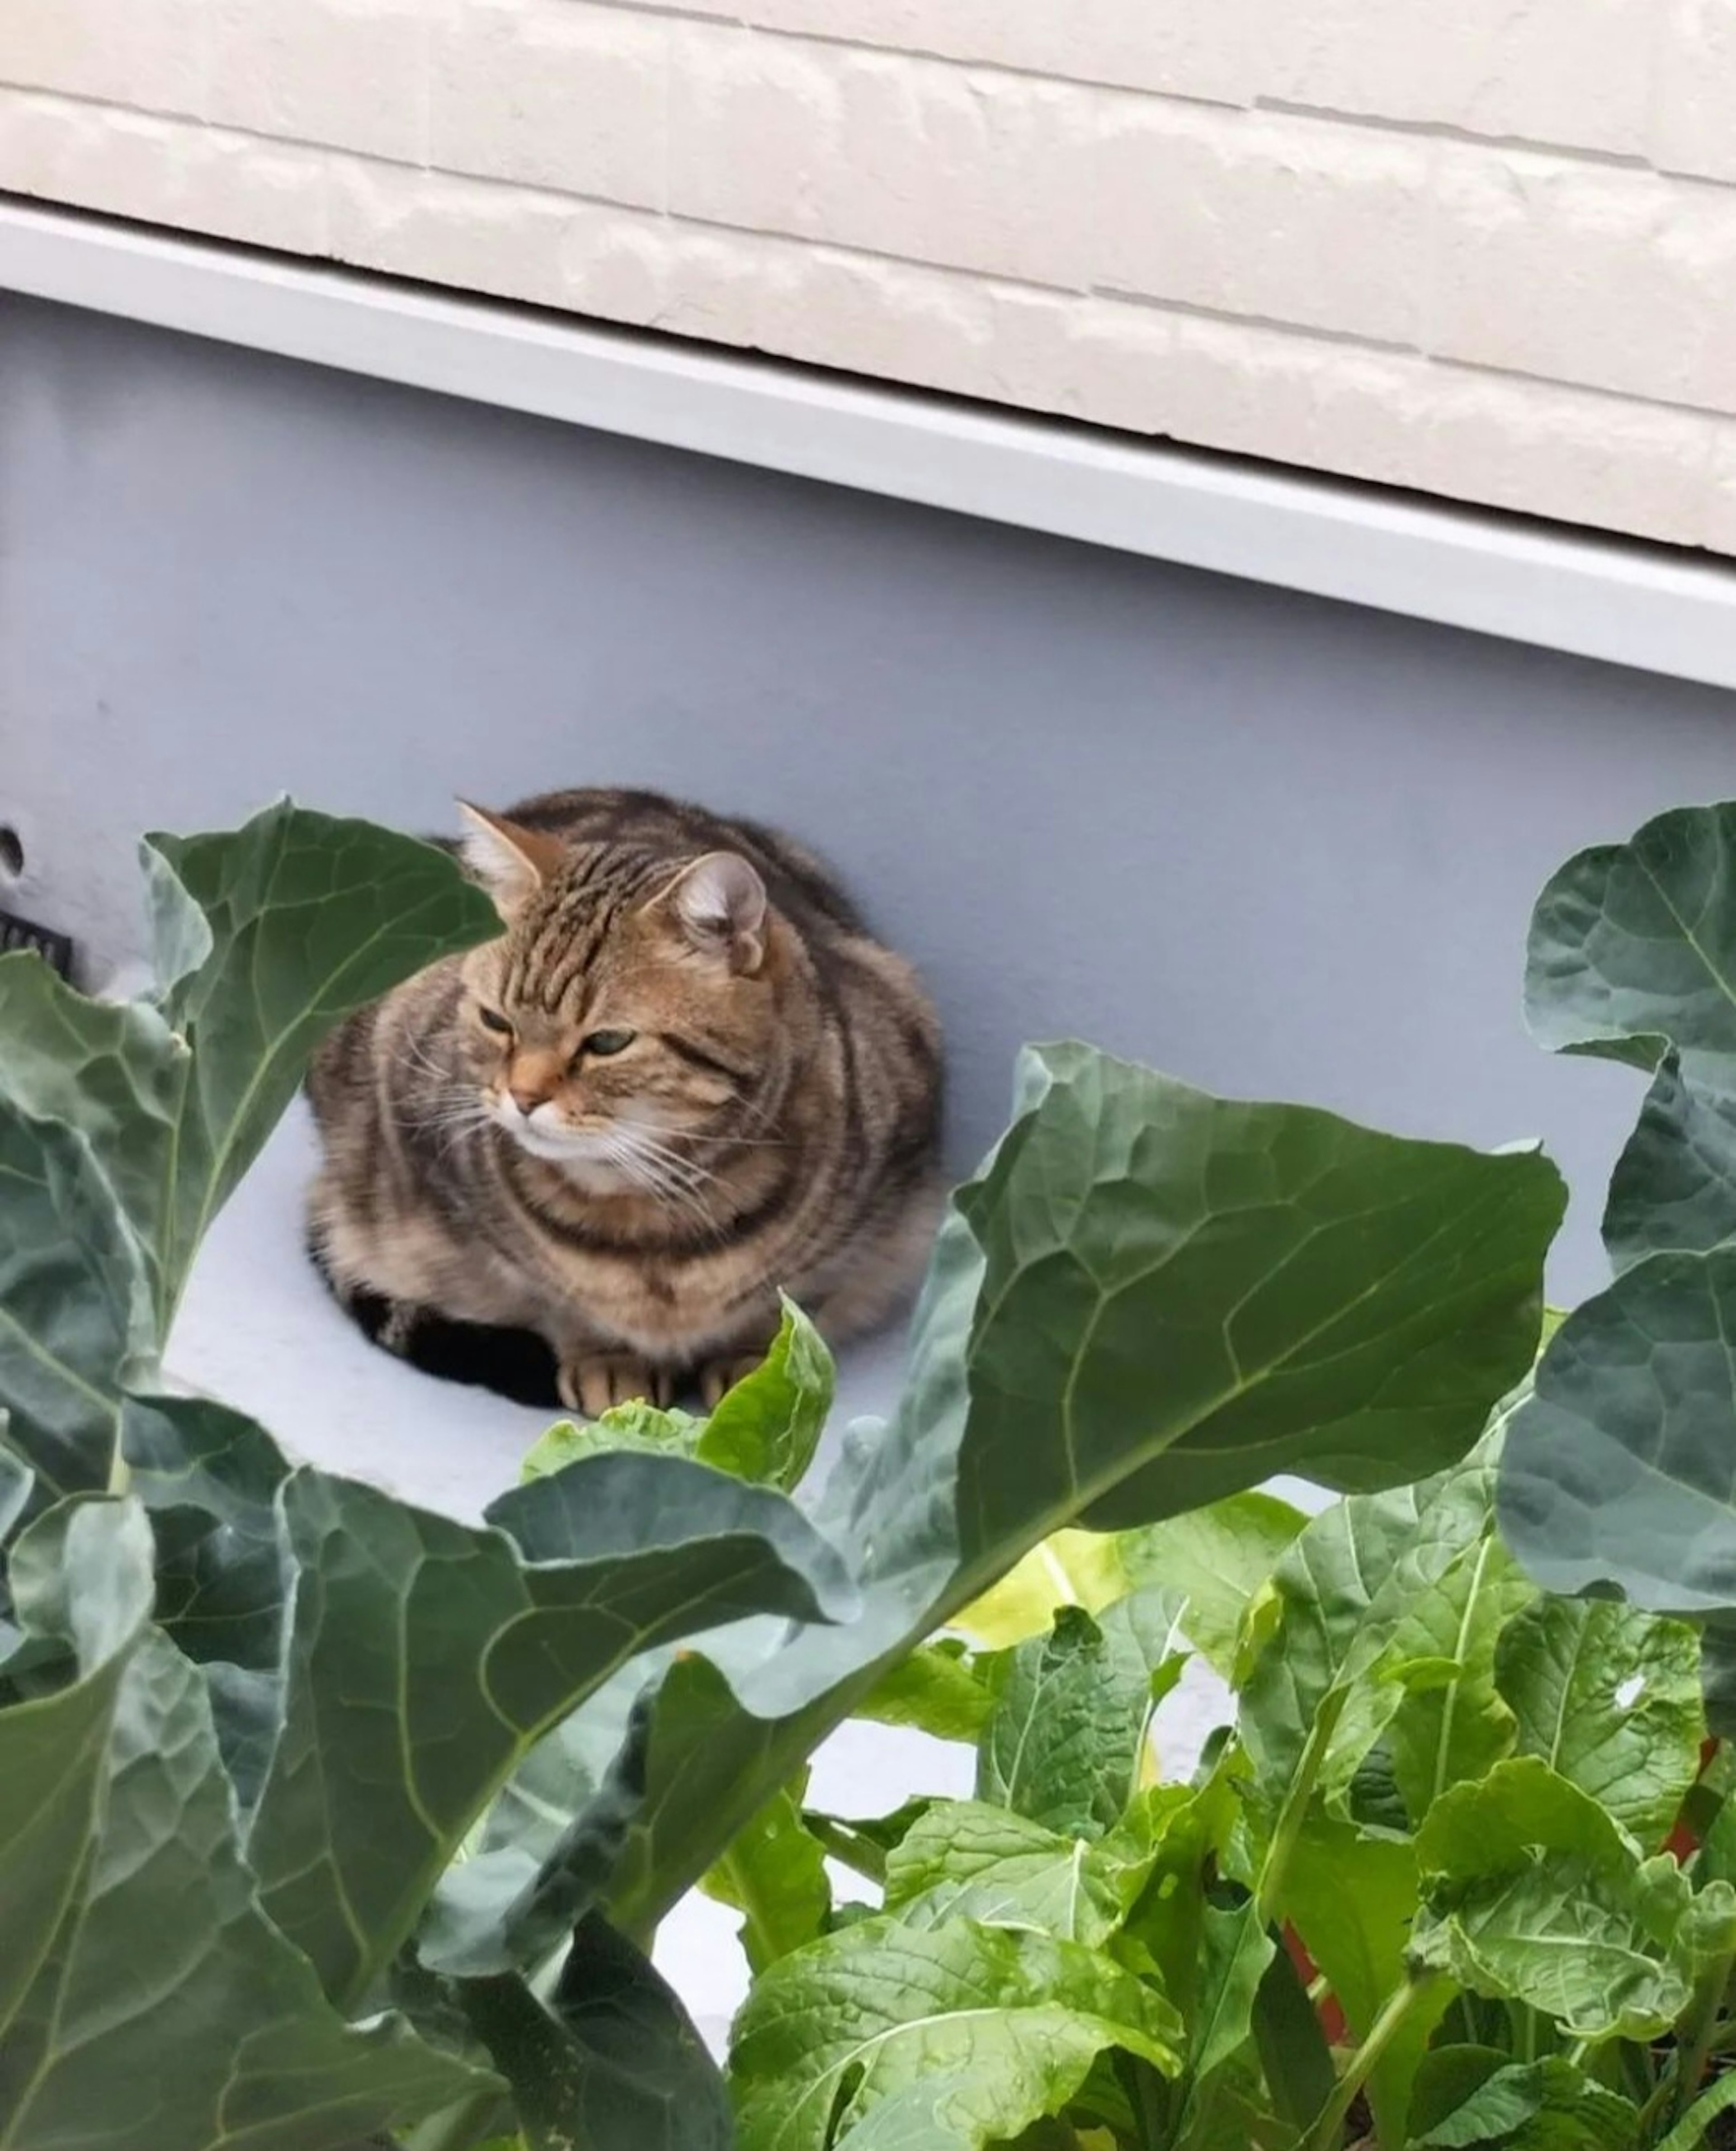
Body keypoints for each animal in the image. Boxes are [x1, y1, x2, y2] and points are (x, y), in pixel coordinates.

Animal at [305, 787, 942, 1411]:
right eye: (496, 1020)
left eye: (608, 1042)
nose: (522, 1096)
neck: (651, 1221)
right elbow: (557, 1299)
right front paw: (607, 1359)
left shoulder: (868, 1229)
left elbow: (782, 1308)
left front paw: (765, 1367)